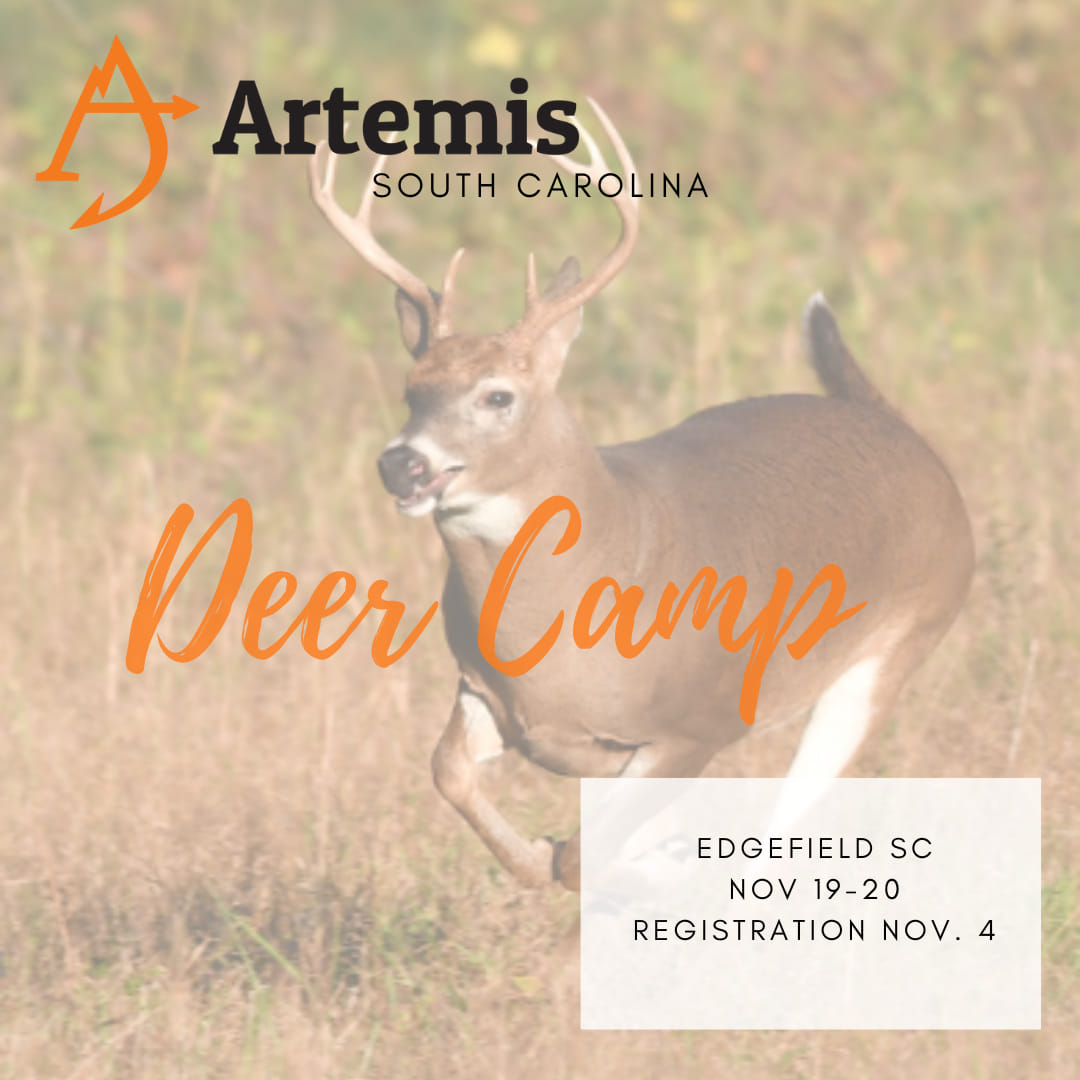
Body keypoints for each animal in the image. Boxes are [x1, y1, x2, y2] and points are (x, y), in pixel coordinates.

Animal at [308, 101, 974, 892]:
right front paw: (536, 854)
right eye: (412, 391)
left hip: (896, 648)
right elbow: (450, 773)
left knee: (788, 819)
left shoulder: (700, 722)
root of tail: (900, 430)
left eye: (498, 396)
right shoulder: (486, 694)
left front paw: (607, 862)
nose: (402, 464)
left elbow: (579, 856)